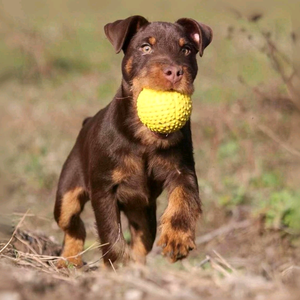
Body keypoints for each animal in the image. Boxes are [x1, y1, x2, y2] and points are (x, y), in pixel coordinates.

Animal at [54, 15, 213, 268]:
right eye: (145, 48)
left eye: (186, 49)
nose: (174, 72)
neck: (143, 137)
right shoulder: (104, 188)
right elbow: (111, 234)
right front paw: (118, 265)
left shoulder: (183, 171)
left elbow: (184, 200)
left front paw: (177, 238)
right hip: (67, 192)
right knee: (72, 224)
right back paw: (69, 259)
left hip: (143, 212)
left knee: (141, 242)